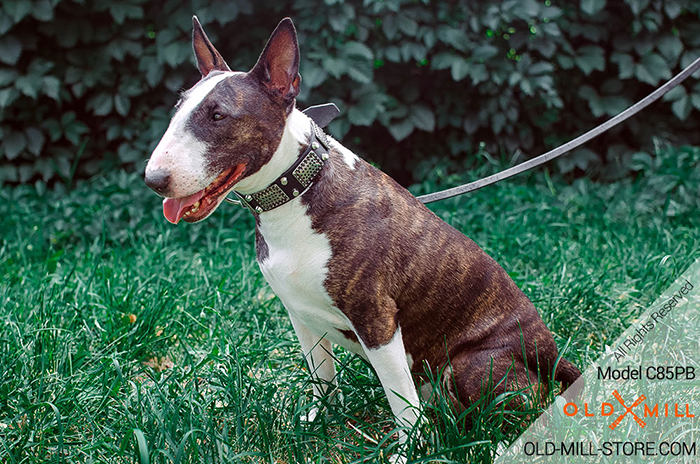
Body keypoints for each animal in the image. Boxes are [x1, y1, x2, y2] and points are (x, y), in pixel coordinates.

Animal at [142, 16, 580, 446]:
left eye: (218, 115)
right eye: (177, 110)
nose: (153, 180)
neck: (295, 194)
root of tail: (555, 355)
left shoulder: (378, 320)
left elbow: (401, 402)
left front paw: (408, 450)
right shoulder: (300, 314)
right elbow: (322, 377)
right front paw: (317, 423)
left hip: (473, 363)